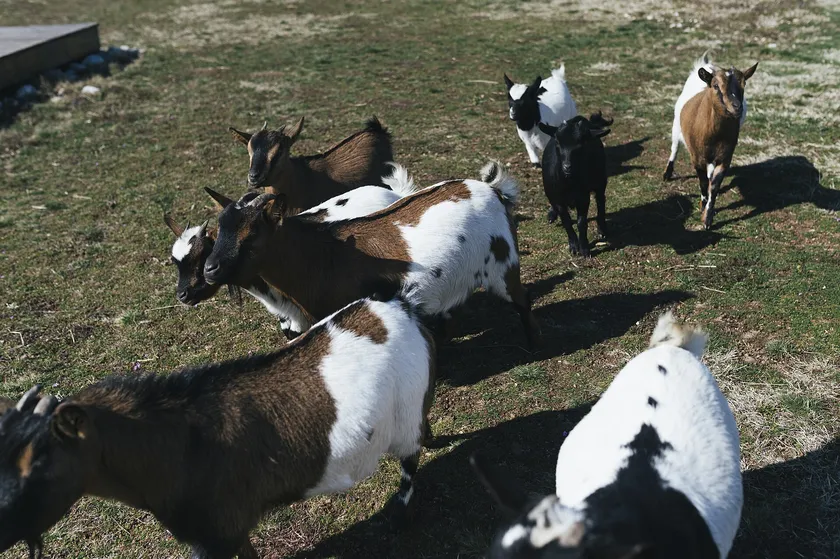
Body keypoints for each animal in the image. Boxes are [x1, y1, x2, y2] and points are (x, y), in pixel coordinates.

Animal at [0, 296, 436, 559]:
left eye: (39, 463)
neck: (178, 448)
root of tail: (402, 307)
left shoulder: (219, 534)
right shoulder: (231, 530)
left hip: (406, 410)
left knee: (410, 460)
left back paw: (402, 514)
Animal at [203, 161, 540, 347]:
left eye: (252, 236)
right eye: (218, 230)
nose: (210, 269)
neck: (321, 255)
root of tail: (492, 190)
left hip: (503, 265)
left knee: (522, 300)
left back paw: (531, 345)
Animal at [538, 113, 612, 258]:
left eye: (582, 144)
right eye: (557, 143)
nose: (567, 167)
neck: (569, 182)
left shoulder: (583, 198)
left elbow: (581, 223)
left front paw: (584, 249)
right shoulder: (558, 200)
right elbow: (566, 222)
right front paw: (573, 246)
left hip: (600, 180)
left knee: (600, 200)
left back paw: (602, 230)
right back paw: (552, 214)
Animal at [663, 53, 758, 229]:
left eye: (744, 84)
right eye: (715, 85)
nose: (737, 107)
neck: (714, 134)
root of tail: (707, 65)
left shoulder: (725, 157)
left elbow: (714, 185)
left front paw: (707, 218)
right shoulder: (697, 157)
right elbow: (702, 182)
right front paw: (702, 206)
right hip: (676, 123)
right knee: (675, 146)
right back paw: (667, 173)